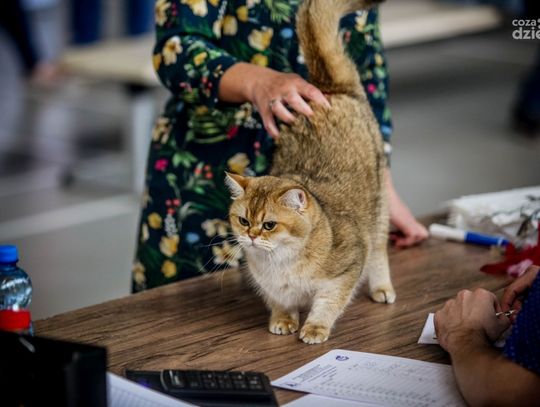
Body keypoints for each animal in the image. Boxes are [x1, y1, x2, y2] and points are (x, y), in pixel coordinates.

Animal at [225, 0, 395, 344]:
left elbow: (328, 303)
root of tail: (328, 90)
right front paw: (282, 320)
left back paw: (382, 288)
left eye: (269, 225)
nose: (250, 236)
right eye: (244, 221)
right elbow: (280, 301)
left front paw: (315, 328)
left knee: (380, 251)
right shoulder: (271, 287)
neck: (280, 263)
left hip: (379, 211)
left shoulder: (347, 268)